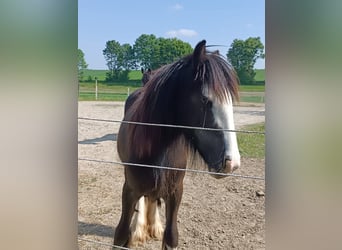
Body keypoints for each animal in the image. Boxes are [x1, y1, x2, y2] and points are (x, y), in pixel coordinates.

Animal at [114, 40, 240, 249]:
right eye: (205, 99)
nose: (232, 163)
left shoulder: (175, 192)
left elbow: (171, 235)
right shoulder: (129, 189)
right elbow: (121, 234)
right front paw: (136, 230)